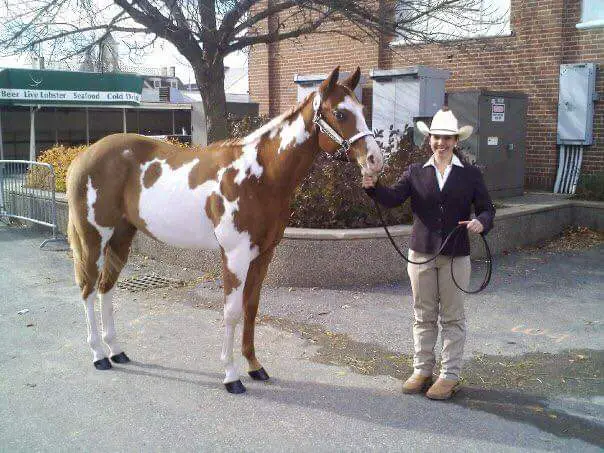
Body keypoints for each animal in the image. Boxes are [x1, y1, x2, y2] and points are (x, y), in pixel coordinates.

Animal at [66, 64, 384, 392]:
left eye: (362, 109)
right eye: (341, 113)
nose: (375, 160)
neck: (259, 175)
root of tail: (83, 156)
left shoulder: (263, 254)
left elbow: (251, 307)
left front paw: (255, 366)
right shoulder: (234, 255)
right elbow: (231, 312)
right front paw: (231, 375)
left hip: (121, 237)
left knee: (106, 288)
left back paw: (116, 351)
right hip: (93, 238)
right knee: (88, 288)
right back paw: (98, 355)